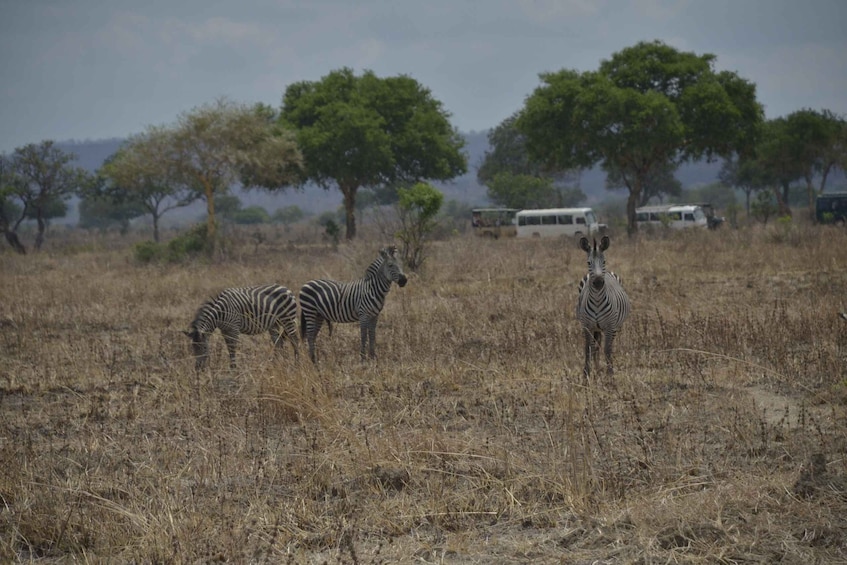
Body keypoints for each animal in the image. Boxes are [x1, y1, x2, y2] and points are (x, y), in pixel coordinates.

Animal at [576, 235, 628, 378]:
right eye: (588, 263)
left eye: (604, 261)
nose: (599, 283)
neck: (597, 300)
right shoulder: (587, 326)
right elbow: (588, 349)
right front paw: (586, 375)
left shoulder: (610, 326)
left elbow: (607, 350)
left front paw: (610, 375)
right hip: (596, 328)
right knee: (595, 347)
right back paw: (598, 370)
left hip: (614, 327)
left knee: (604, 347)